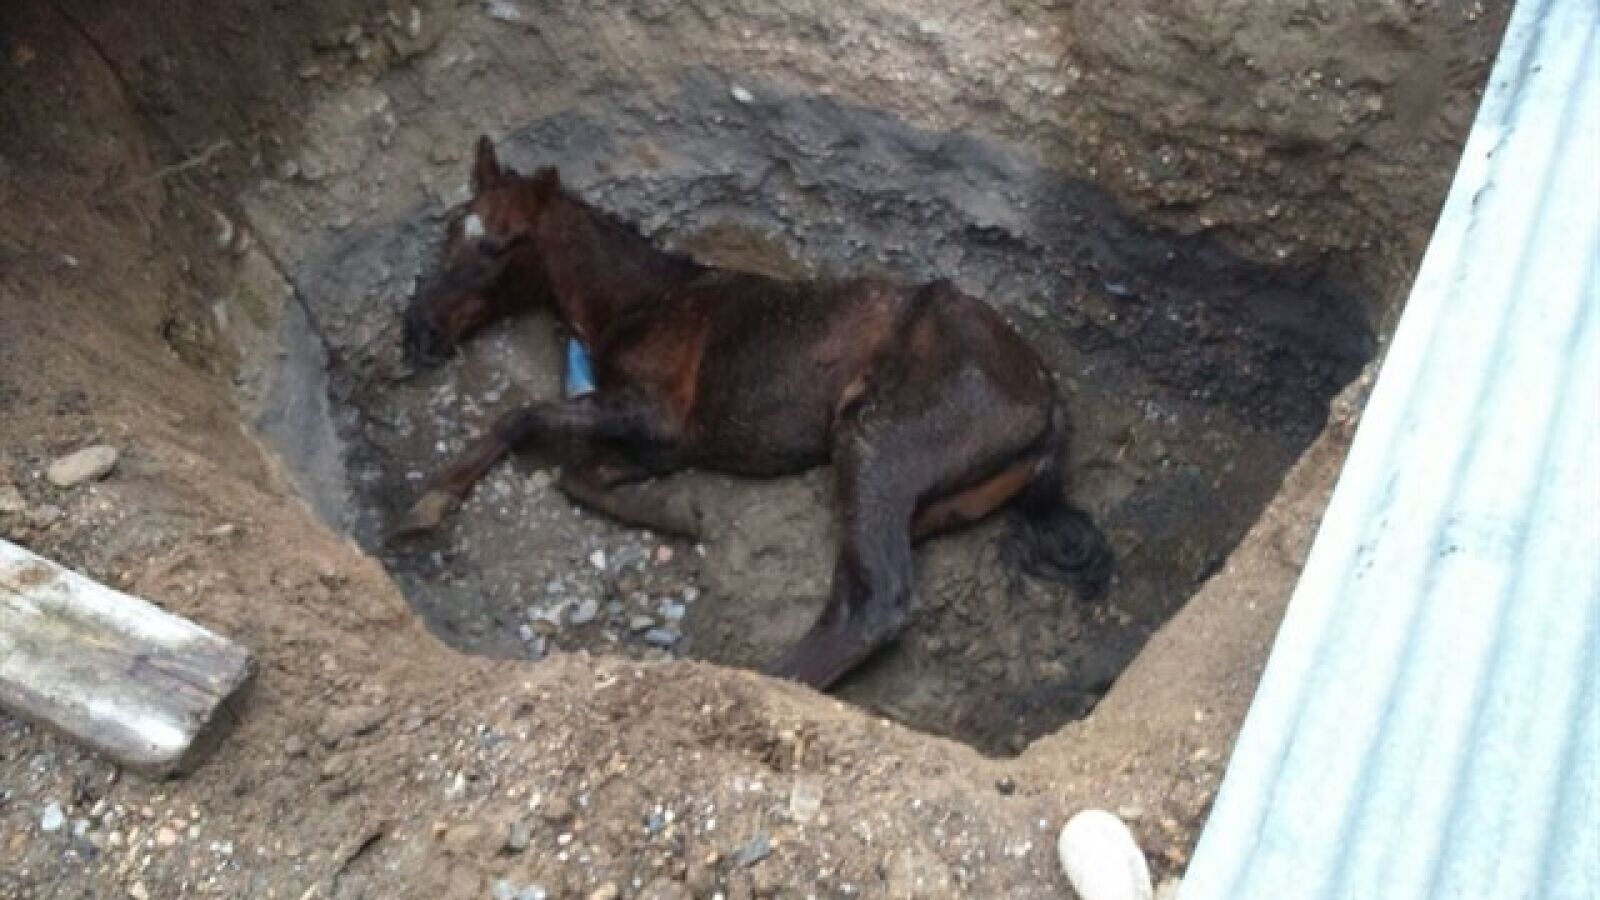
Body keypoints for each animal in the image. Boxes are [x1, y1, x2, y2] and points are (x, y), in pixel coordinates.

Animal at [396, 136, 1112, 689]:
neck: (643, 301)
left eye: (498, 247)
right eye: (451, 229)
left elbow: (523, 420)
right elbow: (581, 474)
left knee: (869, 604)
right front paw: (679, 514)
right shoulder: (665, 440)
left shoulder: (656, 413)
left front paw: (432, 499)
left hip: (876, 443)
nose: (417, 332)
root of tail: (1047, 398)